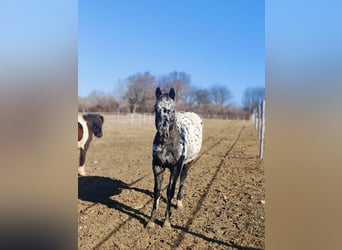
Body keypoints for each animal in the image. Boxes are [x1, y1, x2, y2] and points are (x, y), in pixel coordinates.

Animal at [146, 87, 203, 228]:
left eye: (172, 109)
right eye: (156, 108)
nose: (163, 135)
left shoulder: (176, 167)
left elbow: (170, 191)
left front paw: (167, 222)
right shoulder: (157, 166)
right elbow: (157, 191)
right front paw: (151, 220)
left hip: (188, 164)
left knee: (182, 181)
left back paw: (179, 203)